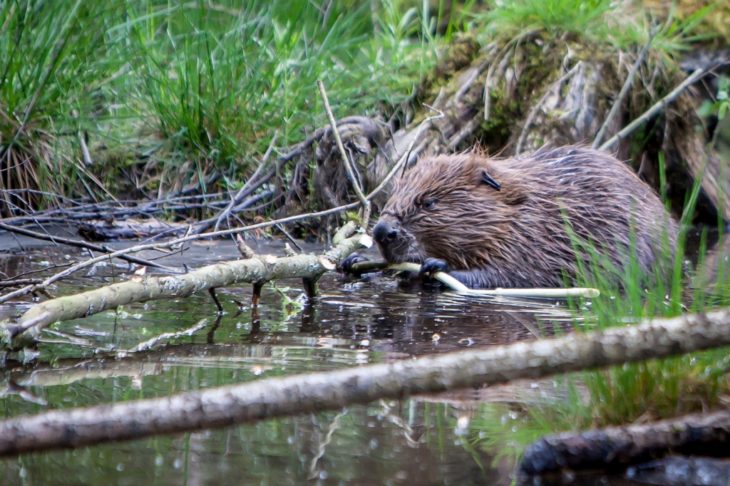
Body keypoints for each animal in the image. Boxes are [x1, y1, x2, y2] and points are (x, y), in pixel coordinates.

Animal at [350, 145, 672, 288]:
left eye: (429, 202)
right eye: (393, 193)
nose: (382, 231)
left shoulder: (533, 240)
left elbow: (510, 276)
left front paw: (434, 266)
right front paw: (356, 259)